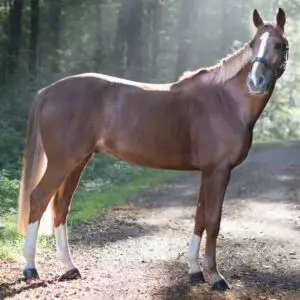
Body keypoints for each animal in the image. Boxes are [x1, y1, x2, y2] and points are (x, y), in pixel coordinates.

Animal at [18, 8, 288, 290]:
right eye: (253, 44)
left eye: (278, 44)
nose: (255, 81)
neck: (226, 101)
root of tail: (47, 91)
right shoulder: (219, 171)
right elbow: (213, 221)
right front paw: (215, 276)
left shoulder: (208, 171)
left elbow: (200, 217)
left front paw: (194, 270)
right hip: (62, 162)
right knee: (38, 199)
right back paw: (30, 268)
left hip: (77, 162)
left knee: (60, 207)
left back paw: (70, 267)